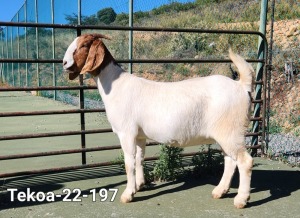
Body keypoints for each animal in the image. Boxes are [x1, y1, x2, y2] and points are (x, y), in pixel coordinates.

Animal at [62, 33, 253, 209]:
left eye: (83, 45)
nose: (64, 63)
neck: (115, 85)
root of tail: (241, 86)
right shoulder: (139, 135)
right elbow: (139, 158)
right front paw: (139, 186)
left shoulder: (126, 132)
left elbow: (129, 163)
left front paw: (127, 195)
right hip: (225, 134)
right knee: (230, 160)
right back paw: (220, 192)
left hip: (231, 131)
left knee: (244, 161)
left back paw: (241, 200)